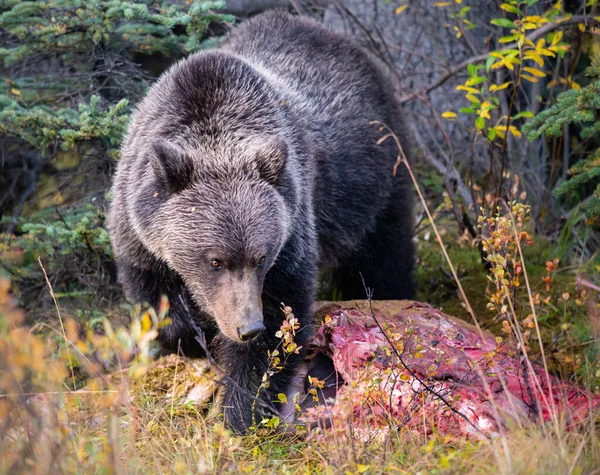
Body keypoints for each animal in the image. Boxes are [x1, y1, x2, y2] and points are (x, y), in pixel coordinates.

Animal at [108, 11, 414, 436]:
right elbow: (156, 300)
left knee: (383, 255)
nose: (245, 326)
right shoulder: (138, 232)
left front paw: (242, 410)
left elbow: (278, 323)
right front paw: (191, 335)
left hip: (375, 175)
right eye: (215, 260)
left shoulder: (292, 227)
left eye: (260, 257)